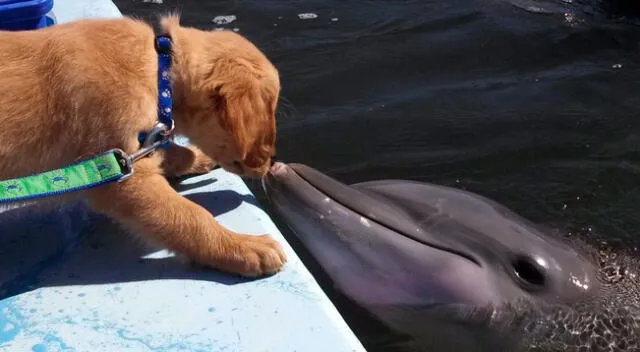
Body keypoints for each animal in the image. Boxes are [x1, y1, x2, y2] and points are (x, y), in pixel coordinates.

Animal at [0, 13, 288, 278]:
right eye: (267, 116)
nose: (272, 165)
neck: (160, 70)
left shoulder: (134, 149)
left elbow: (171, 151)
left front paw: (197, 157)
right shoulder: (120, 176)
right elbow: (190, 216)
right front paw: (243, 246)